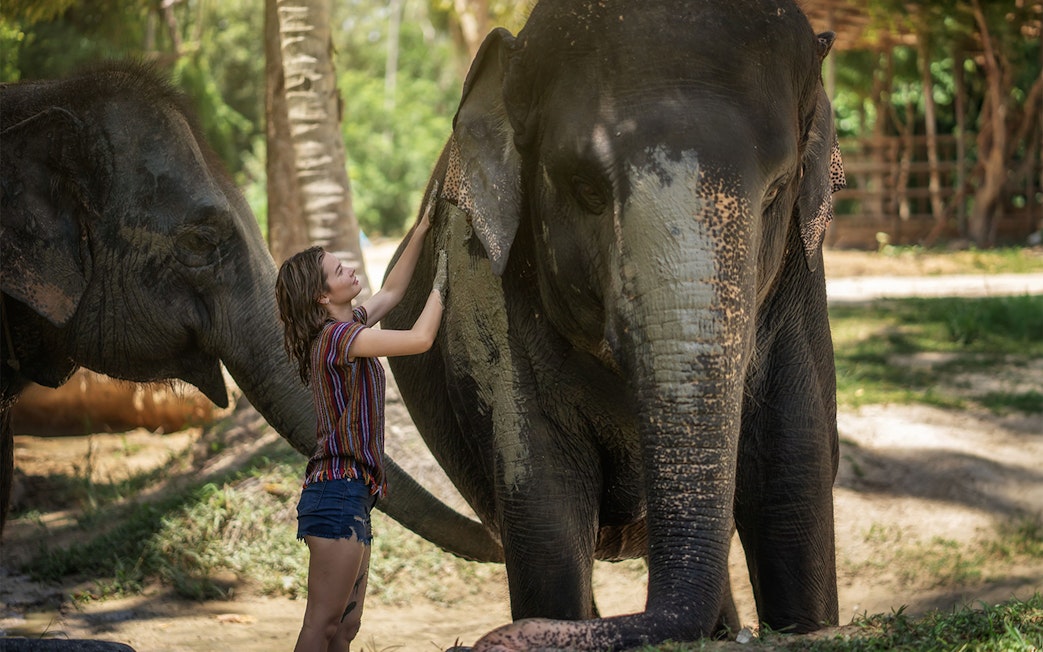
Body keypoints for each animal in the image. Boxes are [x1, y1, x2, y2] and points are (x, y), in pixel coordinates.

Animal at [382, 0, 847, 648]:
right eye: (585, 189)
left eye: (777, 190)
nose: (495, 638)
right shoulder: (495, 295)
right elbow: (546, 509)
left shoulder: (800, 284)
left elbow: (792, 478)